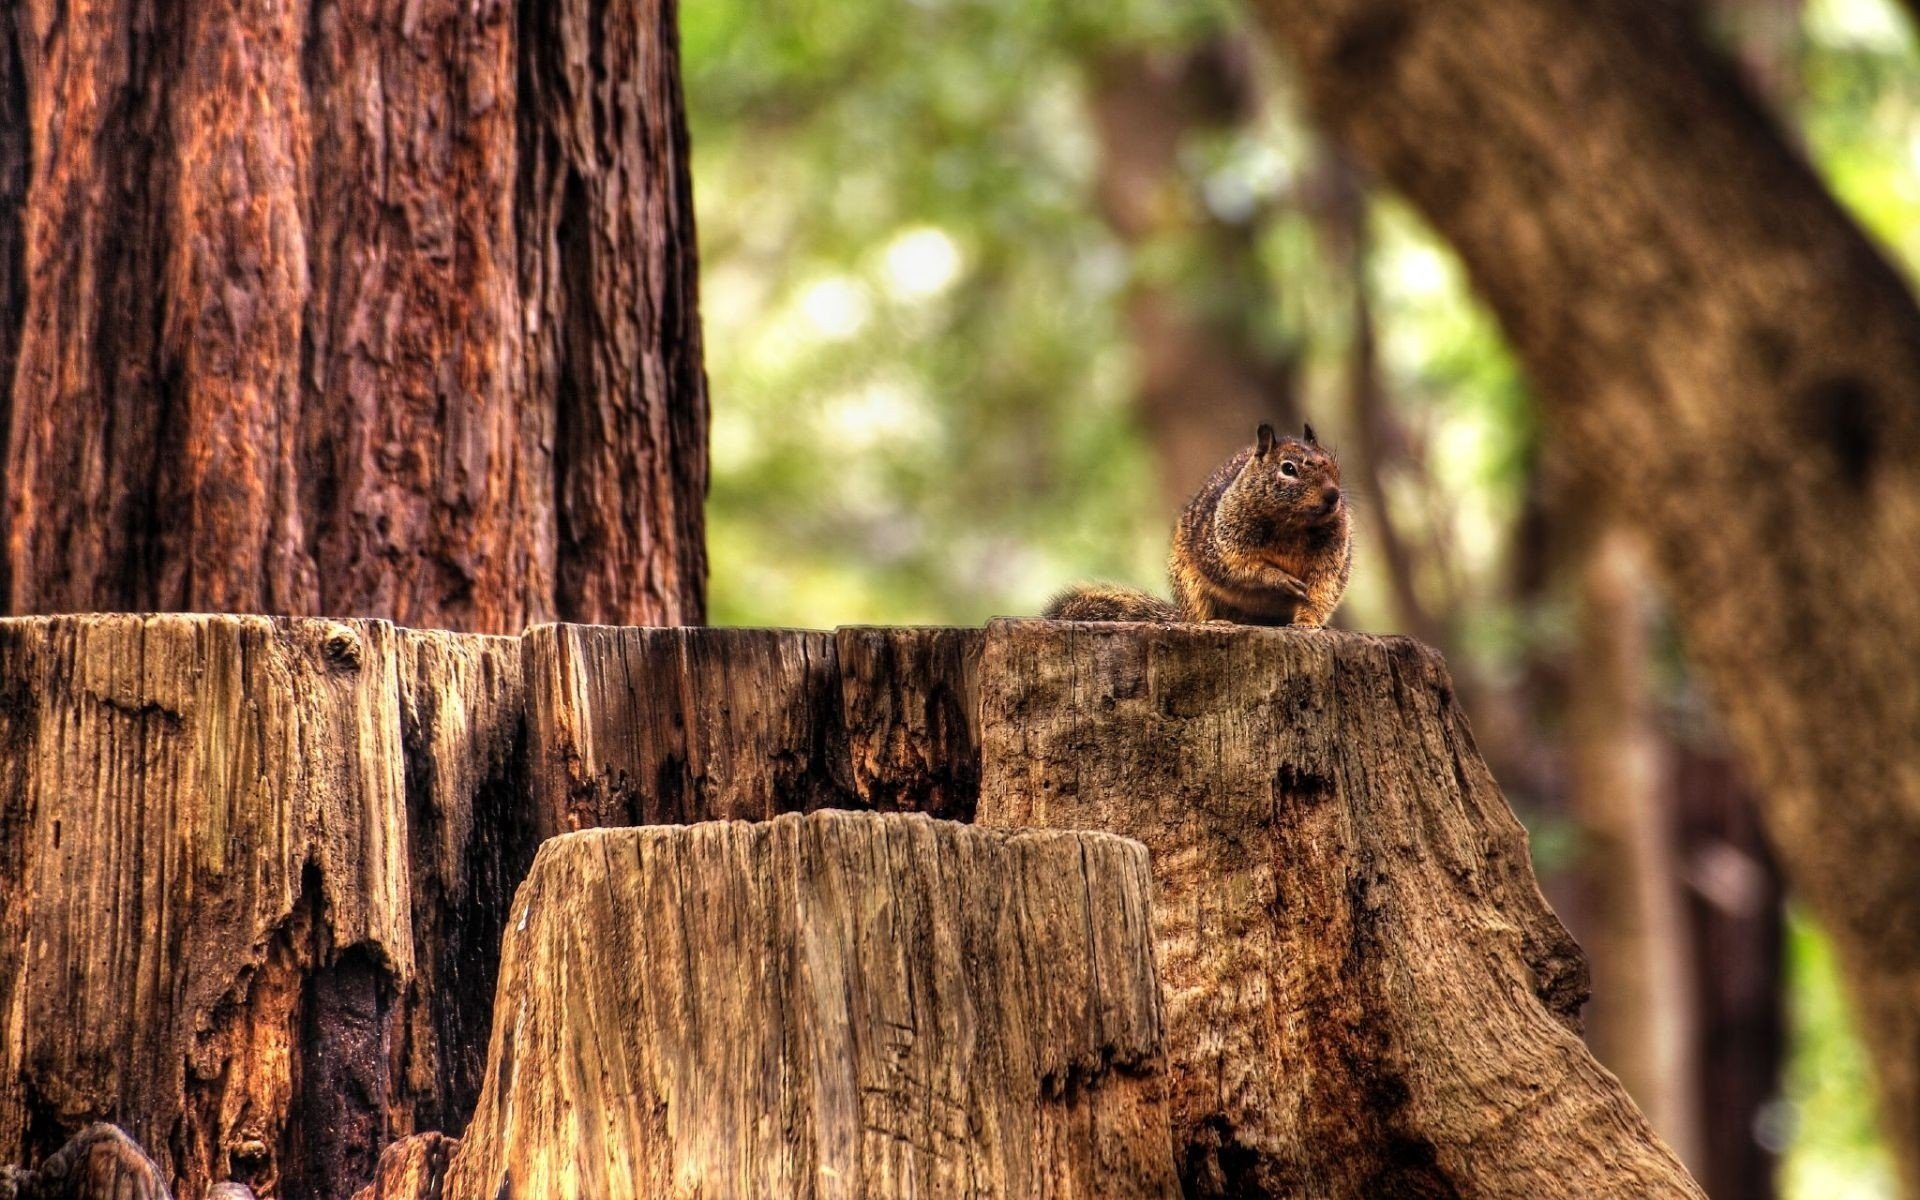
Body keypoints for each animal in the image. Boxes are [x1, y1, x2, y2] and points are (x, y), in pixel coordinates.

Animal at [1046, 422, 1352, 627]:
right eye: (1288, 468)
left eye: (1335, 465)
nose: (1333, 496)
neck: (1293, 525)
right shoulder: (1222, 543)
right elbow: (1239, 568)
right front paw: (1278, 578)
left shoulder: (1332, 556)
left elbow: (1321, 589)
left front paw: (1308, 623)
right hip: (1190, 586)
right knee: (1201, 613)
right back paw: (1216, 622)